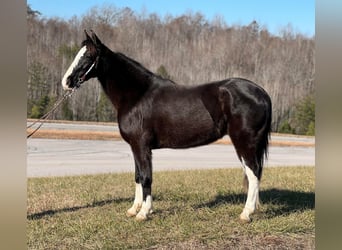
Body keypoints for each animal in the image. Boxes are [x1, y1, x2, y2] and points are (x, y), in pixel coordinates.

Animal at [62, 30, 272, 222]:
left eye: (88, 56)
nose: (66, 82)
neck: (137, 95)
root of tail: (261, 92)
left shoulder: (142, 146)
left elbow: (146, 177)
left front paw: (144, 213)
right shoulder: (135, 147)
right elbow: (138, 176)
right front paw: (134, 209)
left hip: (244, 142)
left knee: (253, 173)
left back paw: (246, 213)